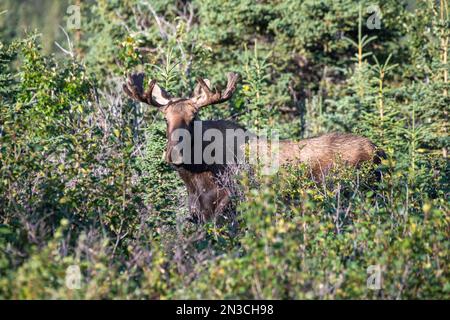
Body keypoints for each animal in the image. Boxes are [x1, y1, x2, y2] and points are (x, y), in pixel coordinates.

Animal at [123, 72, 384, 222]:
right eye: (165, 119)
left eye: (194, 117)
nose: (175, 153)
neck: (195, 178)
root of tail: (378, 151)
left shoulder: (227, 205)